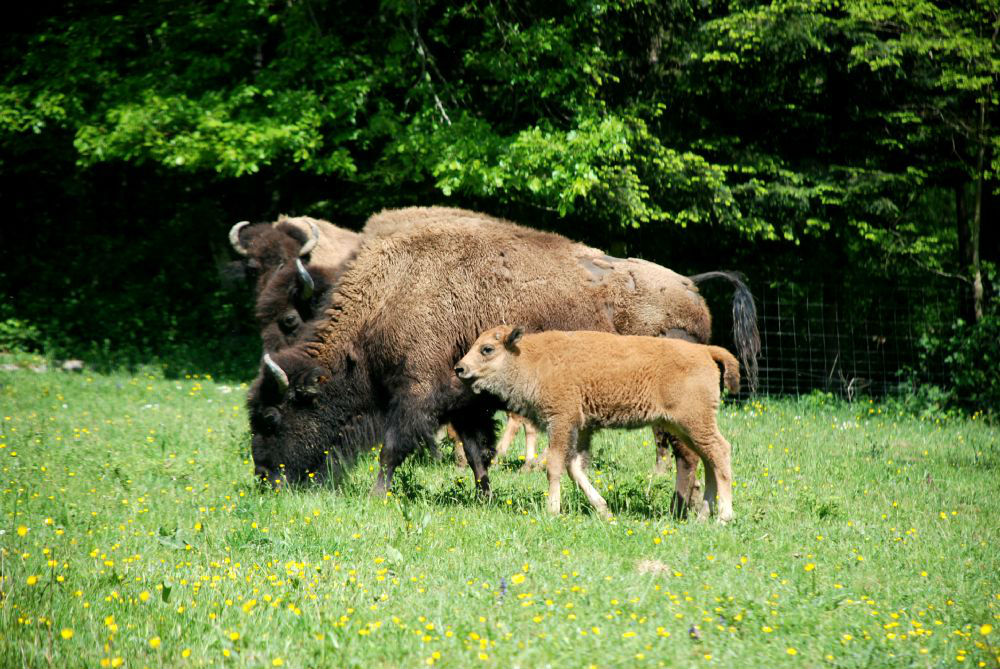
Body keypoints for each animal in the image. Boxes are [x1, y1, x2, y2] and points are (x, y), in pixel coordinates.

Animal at [458, 326, 740, 520]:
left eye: (487, 349)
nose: (460, 368)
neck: (533, 359)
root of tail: (705, 351)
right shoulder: (582, 428)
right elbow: (575, 467)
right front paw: (603, 509)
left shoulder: (561, 422)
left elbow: (555, 465)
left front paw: (552, 510)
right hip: (685, 427)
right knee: (709, 460)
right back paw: (703, 516)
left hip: (695, 422)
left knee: (720, 451)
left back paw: (723, 516)